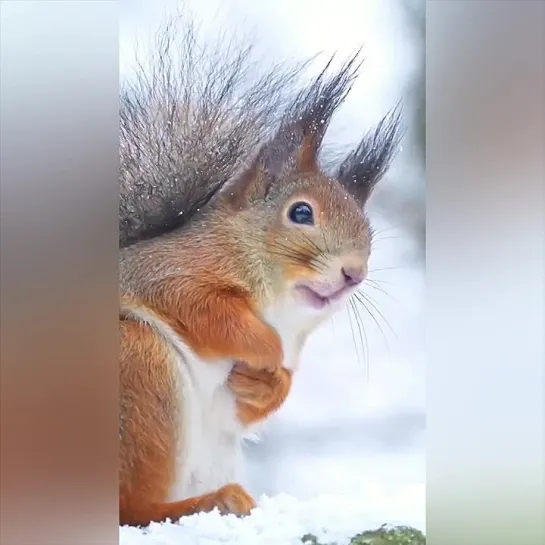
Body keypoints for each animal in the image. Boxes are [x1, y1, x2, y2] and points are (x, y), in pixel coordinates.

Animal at [119, 15, 402, 528]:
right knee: (132, 509)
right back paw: (208, 502)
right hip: (138, 364)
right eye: (301, 213)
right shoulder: (172, 271)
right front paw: (266, 350)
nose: (354, 274)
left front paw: (270, 382)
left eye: (369, 231)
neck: (279, 308)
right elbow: (199, 307)